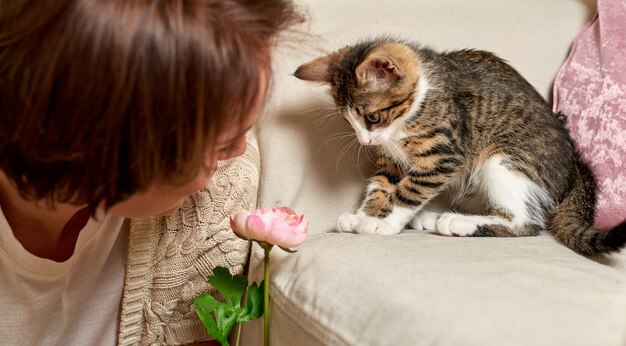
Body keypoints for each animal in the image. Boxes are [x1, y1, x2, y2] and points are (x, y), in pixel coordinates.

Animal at [294, 37, 624, 255]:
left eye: (372, 117)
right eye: (349, 121)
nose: (365, 140)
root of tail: (574, 164)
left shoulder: (445, 153)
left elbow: (409, 189)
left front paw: (383, 224)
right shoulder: (390, 158)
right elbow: (382, 184)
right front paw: (364, 215)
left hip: (504, 157)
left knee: (527, 222)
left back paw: (457, 222)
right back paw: (432, 217)